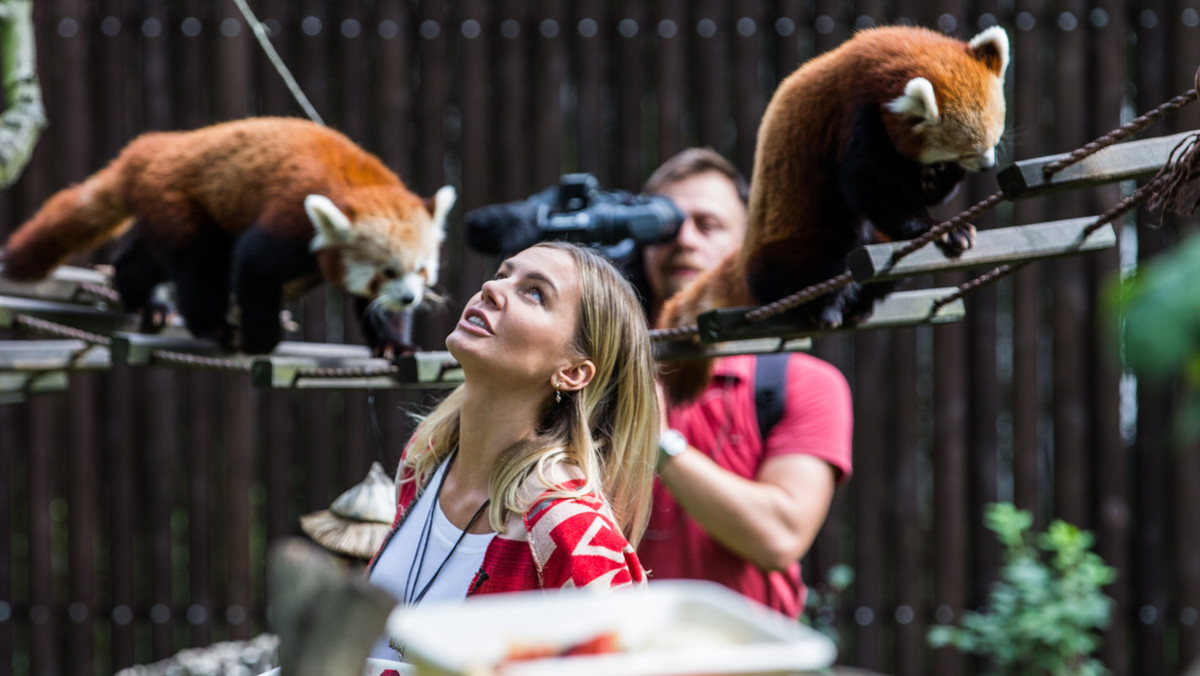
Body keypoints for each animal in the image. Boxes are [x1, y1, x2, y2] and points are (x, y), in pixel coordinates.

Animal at [2, 117, 451, 355]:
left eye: (421, 270)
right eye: (386, 271)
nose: (410, 298)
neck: (358, 184)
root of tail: (150, 148)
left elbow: (374, 308)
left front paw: (393, 343)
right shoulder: (291, 221)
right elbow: (254, 263)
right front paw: (261, 339)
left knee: (145, 257)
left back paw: (143, 299)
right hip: (179, 198)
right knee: (199, 260)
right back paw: (211, 324)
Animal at [662, 25, 1008, 401]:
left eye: (995, 139)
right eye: (969, 150)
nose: (988, 165)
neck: (885, 55)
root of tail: (745, 257)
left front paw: (939, 182)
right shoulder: (857, 115)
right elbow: (866, 186)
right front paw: (940, 228)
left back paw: (861, 305)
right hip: (796, 247)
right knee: (837, 247)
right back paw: (825, 309)